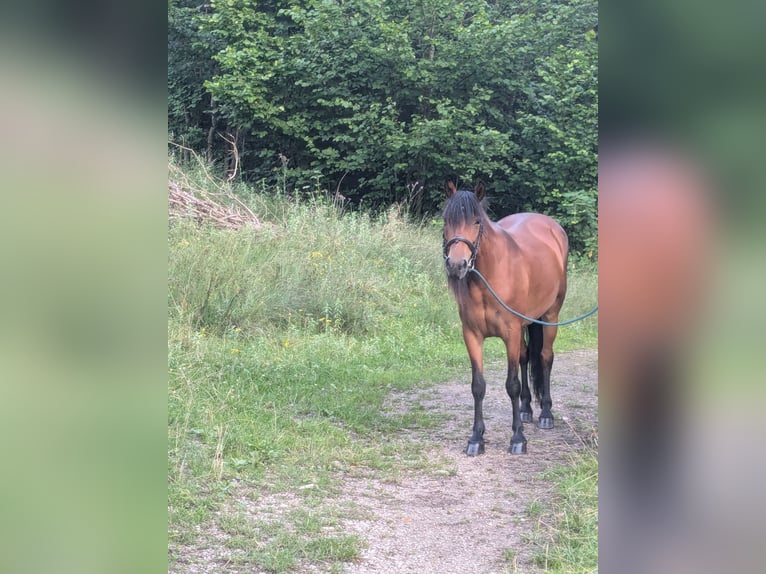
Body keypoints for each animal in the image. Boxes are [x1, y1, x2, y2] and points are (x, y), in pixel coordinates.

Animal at [442, 181, 569, 455]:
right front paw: (476, 438)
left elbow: (512, 385)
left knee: (545, 357)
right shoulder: (472, 335)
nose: (457, 265)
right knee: (525, 357)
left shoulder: (510, 332)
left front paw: (518, 439)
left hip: (550, 316)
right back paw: (526, 410)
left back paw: (545, 414)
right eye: (446, 220)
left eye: (477, 221)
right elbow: (478, 386)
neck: (487, 280)